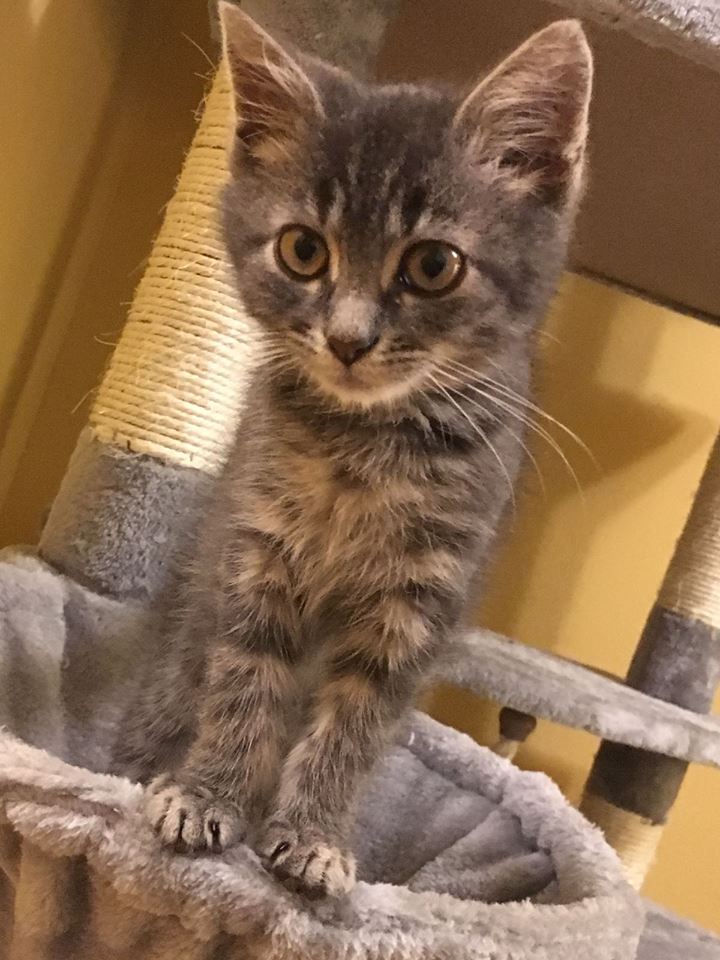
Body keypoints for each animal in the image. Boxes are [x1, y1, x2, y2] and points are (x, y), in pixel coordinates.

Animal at [113, 3, 592, 898]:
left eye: (433, 264)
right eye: (304, 250)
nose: (347, 340)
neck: (362, 450)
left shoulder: (422, 593)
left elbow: (358, 721)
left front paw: (313, 836)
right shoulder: (256, 547)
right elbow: (244, 677)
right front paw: (206, 794)